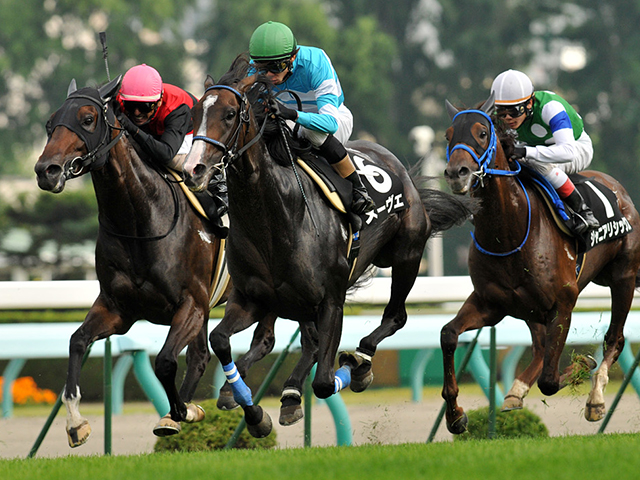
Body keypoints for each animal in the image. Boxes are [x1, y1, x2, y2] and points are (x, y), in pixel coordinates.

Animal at [34, 78, 230, 446]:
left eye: (87, 119)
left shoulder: (190, 303)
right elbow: (76, 341)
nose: (45, 171)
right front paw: (75, 423)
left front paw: (178, 413)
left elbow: (165, 361)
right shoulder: (118, 308)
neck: (139, 220)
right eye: (50, 123)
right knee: (199, 356)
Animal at [182, 54, 472, 436]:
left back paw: (358, 362)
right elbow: (220, 340)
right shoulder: (251, 299)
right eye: (196, 113)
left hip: (406, 255)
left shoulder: (331, 300)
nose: (194, 169)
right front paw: (252, 412)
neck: (276, 217)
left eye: (230, 114)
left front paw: (351, 368)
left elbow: (323, 382)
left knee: (395, 316)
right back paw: (286, 393)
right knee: (307, 341)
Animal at [442, 94, 640, 436]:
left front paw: (583, 366)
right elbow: (448, 334)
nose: (458, 172)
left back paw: (595, 398)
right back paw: (515, 392)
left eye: (482, 133)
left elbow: (550, 380)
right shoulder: (490, 303)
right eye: (448, 135)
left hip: (623, 277)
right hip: (530, 306)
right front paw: (455, 415)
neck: (509, 233)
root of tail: (619, 190)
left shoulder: (563, 303)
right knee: (538, 346)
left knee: (614, 339)